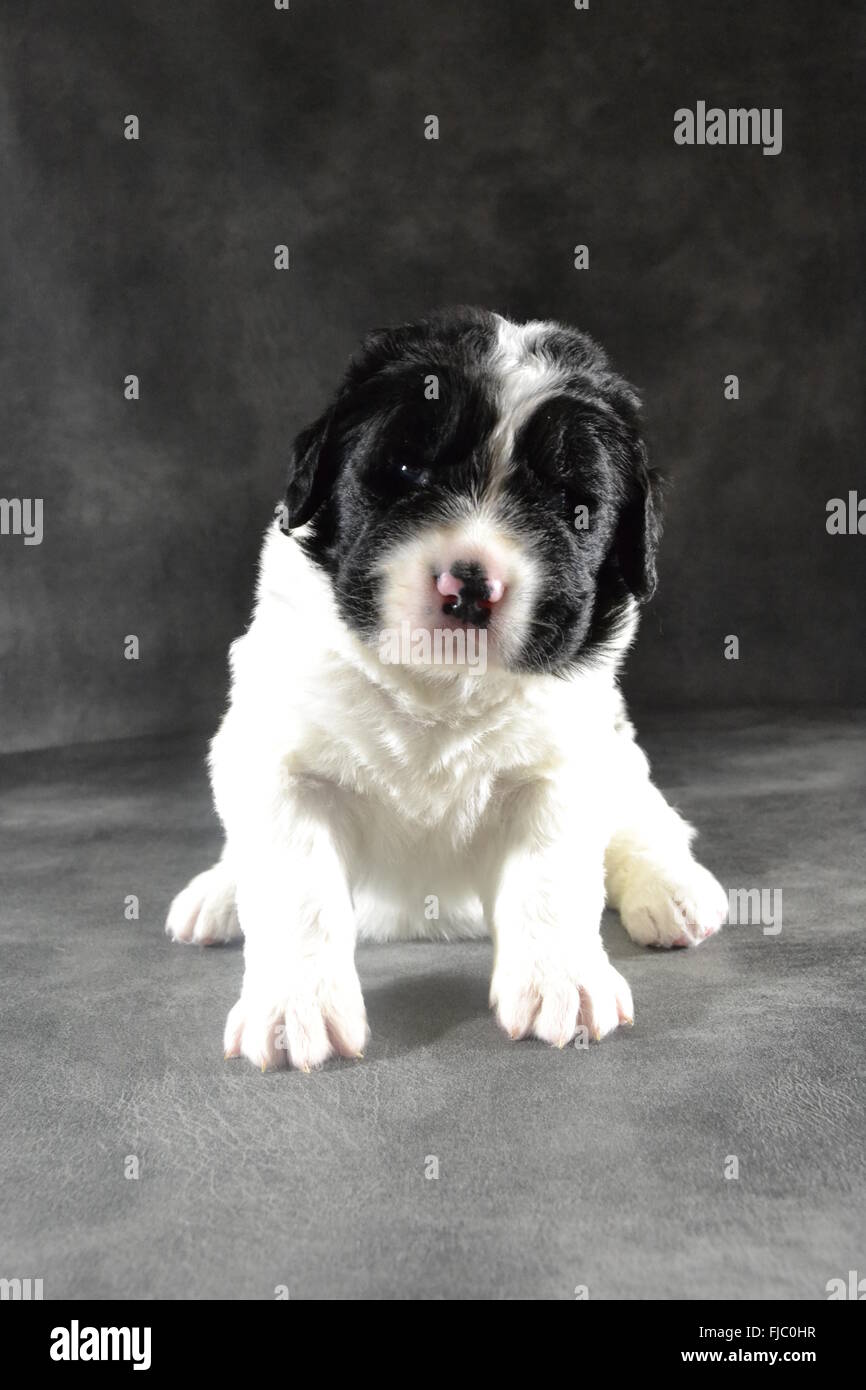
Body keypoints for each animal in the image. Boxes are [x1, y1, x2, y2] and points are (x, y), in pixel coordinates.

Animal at [166, 309, 728, 1067]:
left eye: (574, 509)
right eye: (406, 471)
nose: (468, 586)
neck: (439, 690)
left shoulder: (566, 762)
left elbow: (553, 876)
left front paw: (565, 982)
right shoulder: (279, 757)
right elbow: (295, 889)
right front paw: (294, 1009)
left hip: (618, 750)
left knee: (647, 817)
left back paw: (674, 888)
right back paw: (216, 893)